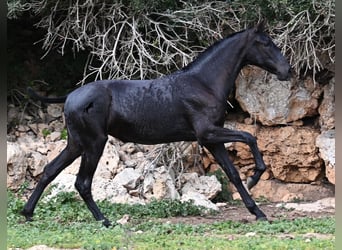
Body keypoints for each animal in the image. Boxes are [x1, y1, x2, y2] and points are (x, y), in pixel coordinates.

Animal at [21, 21, 292, 227]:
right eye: (265, 43)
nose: (287, 70)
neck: (203, 83)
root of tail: (70, 97)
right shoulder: (207, 134)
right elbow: (250, 137)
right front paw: (255, 177)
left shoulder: (212, 141)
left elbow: (233, 173)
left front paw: (258, 211)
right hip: (94, 144)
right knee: (82, 183)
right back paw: (105, 221)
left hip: (76, 144)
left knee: (50, 171)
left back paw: (27, 213)